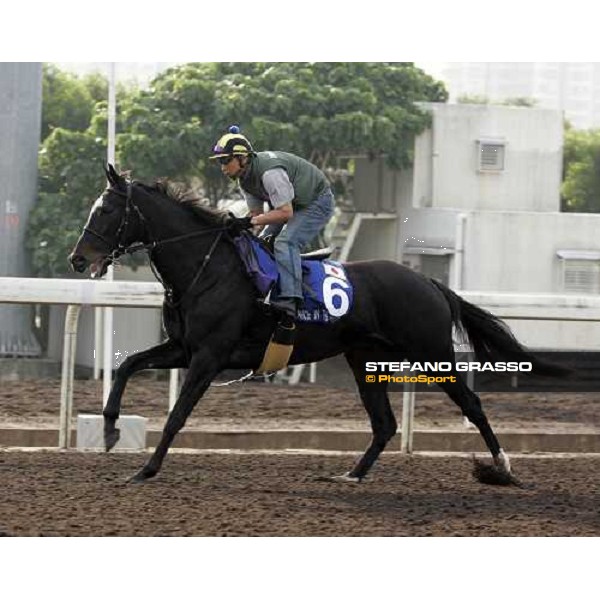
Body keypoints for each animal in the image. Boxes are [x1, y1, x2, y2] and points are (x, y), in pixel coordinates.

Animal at [71, 166, 568, 486]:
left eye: (106, 212)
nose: (79, 259)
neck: (205, 267)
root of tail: (427, 280)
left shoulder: (210, 356)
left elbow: (177, 415)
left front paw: (146, 469)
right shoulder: (183, 348)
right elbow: (127, 366)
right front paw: (111, 430)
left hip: (432, 354)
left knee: (473, 405)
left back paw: (502, 469)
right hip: (364, 359)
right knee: (384, 423)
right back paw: (353, 473)